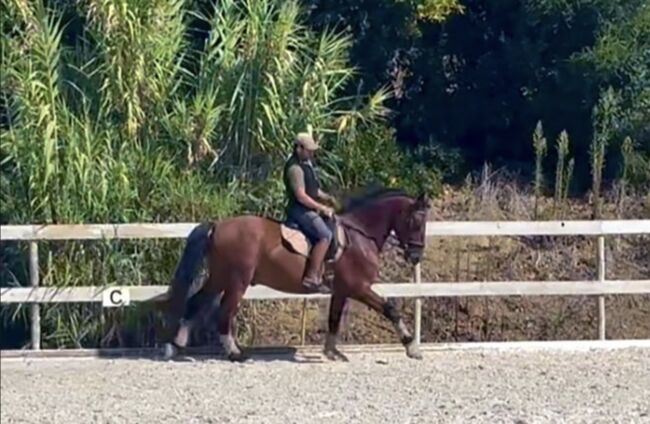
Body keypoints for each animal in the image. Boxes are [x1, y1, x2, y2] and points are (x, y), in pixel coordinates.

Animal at [158, 188, 430, 362]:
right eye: (416, 222)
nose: (416, 256)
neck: (361, 236)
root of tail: (218, 225)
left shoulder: (342, 290)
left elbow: (334, 318)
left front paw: (332, 352)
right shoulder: (358, 287)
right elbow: (390, 309)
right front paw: (411, 348)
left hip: (219, 277)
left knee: (197, 303)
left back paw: (175, 347)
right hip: (237, 280)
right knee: (224, 312)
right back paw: (235, 353)